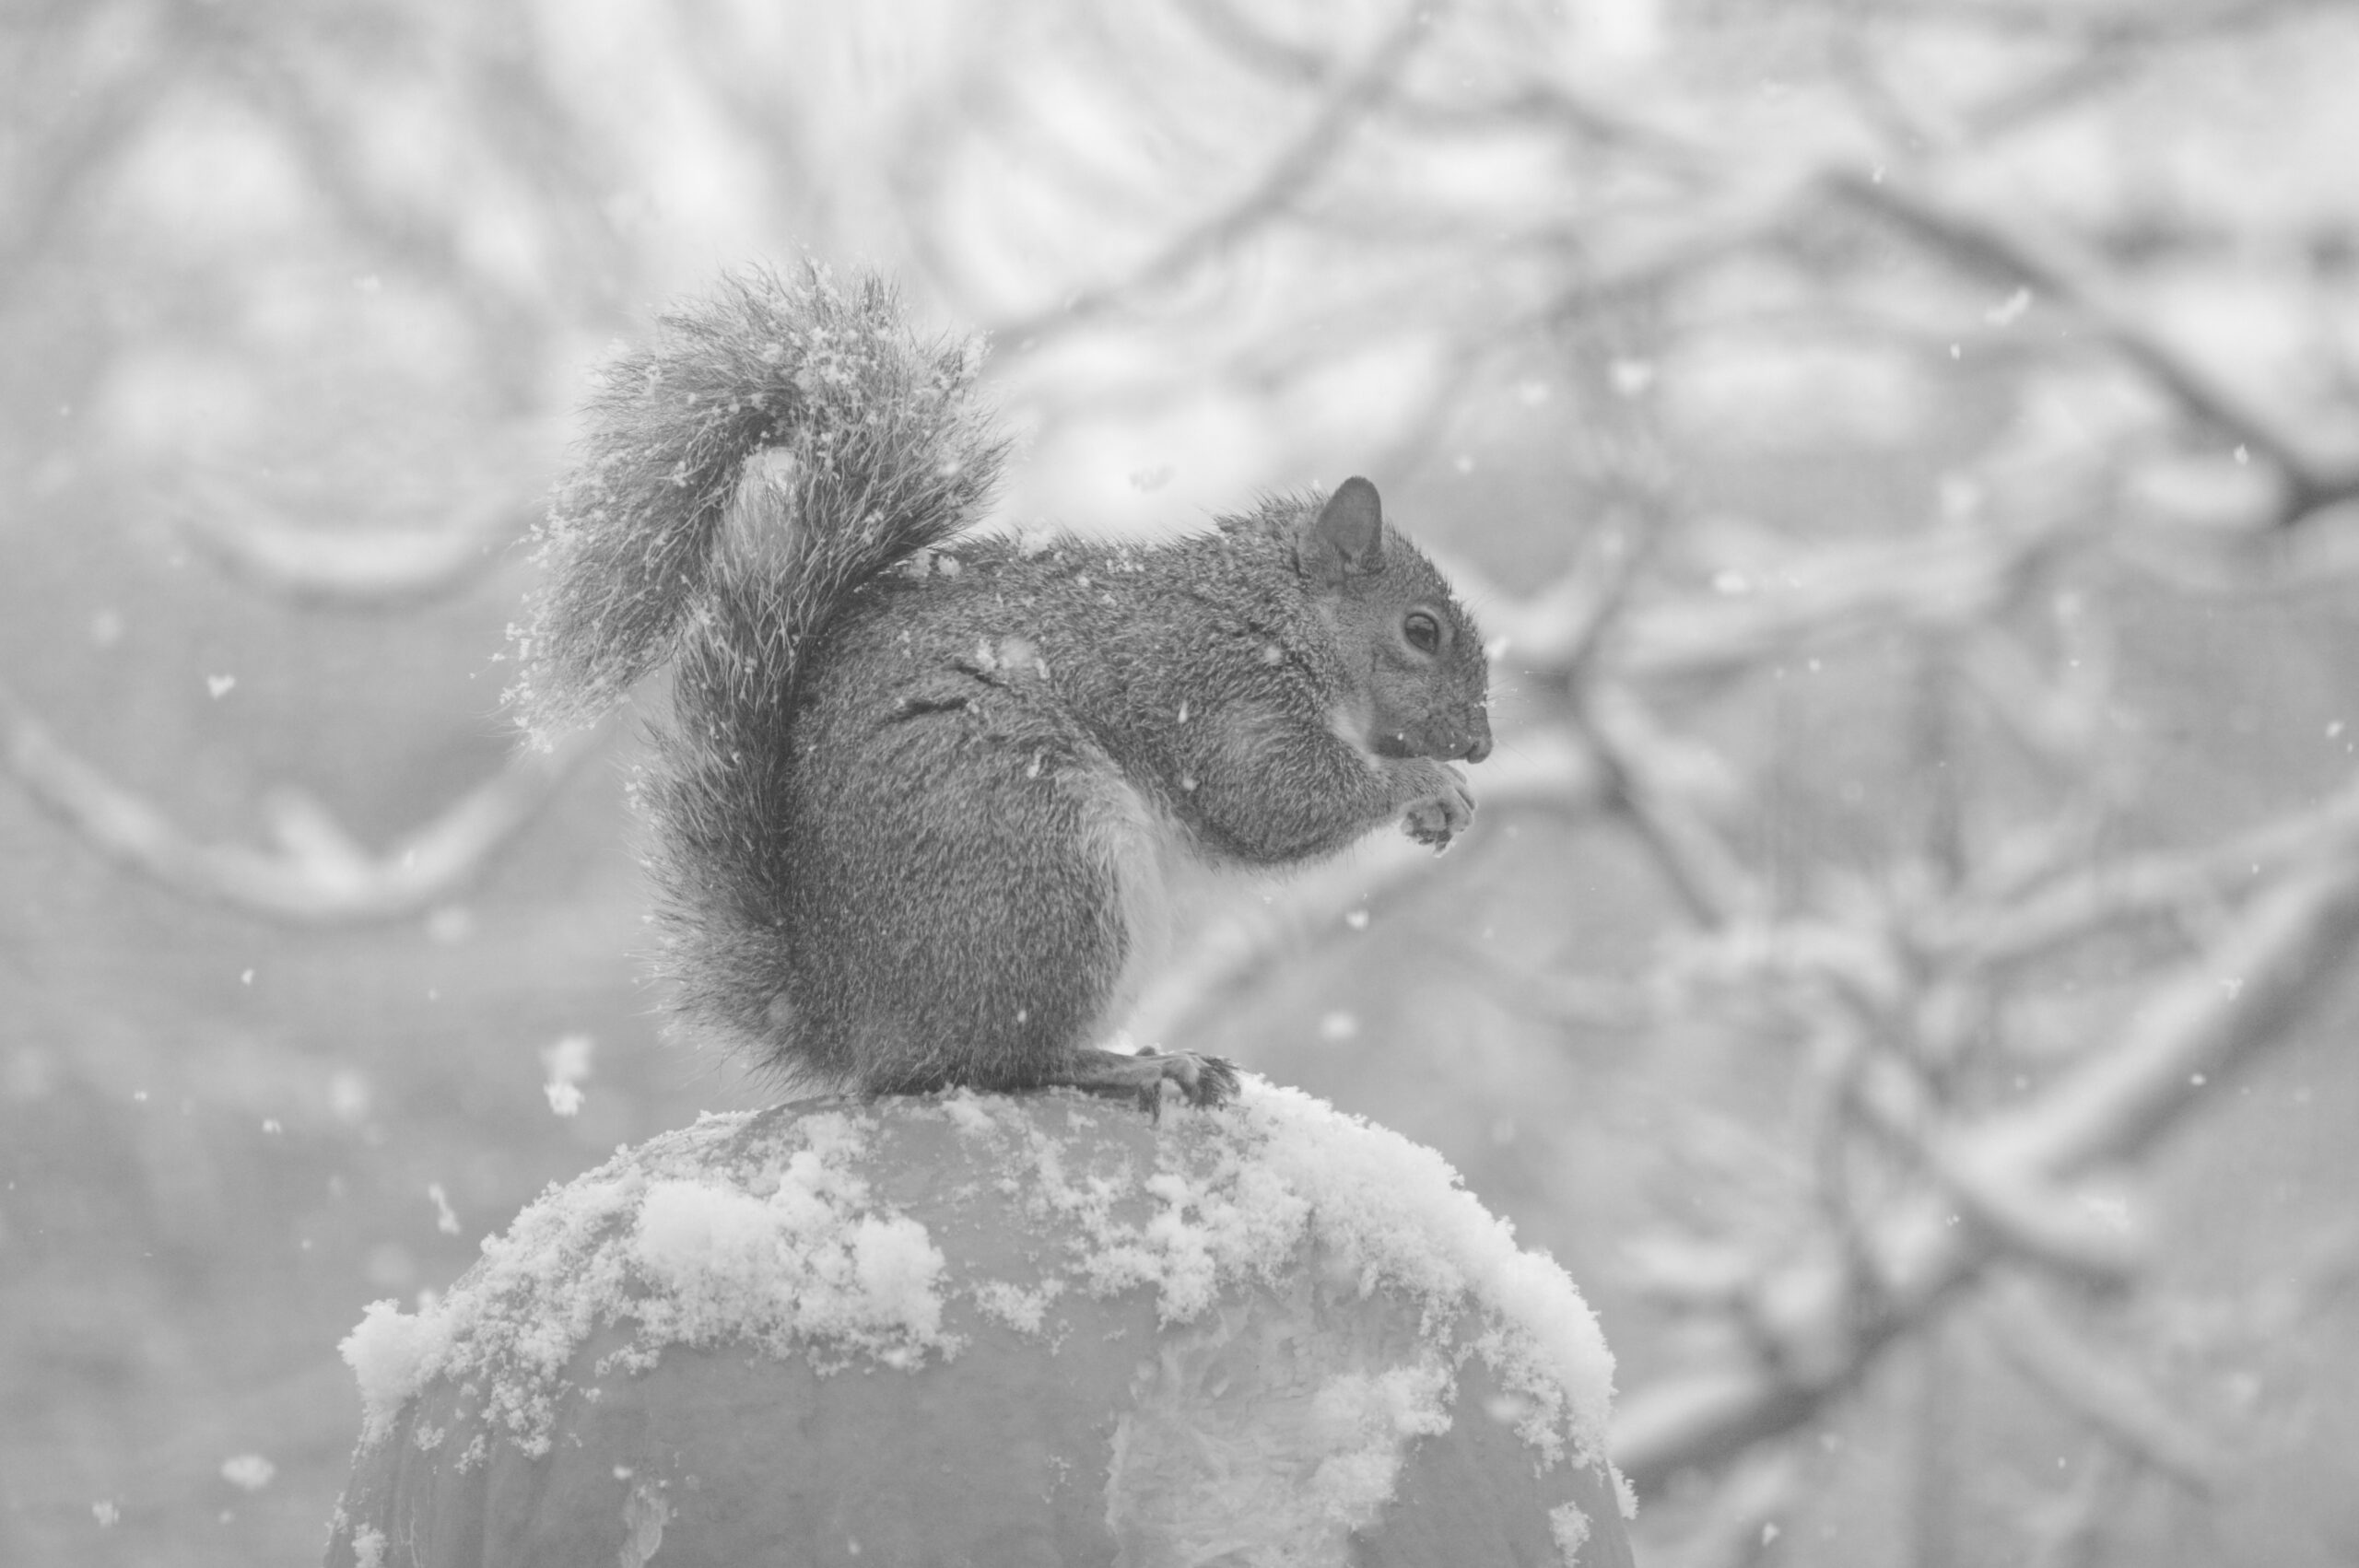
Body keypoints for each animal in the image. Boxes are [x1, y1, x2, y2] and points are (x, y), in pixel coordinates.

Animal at [511, 263, 1490, 1107]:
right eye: (1422, 632)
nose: (1480, 744)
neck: (1272, 615)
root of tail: (850, 1024)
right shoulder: (1214, 691)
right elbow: (1274, 798)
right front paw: (1425, 787)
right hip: (1043, 860)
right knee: (999, 1064)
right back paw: (1136, 1067)